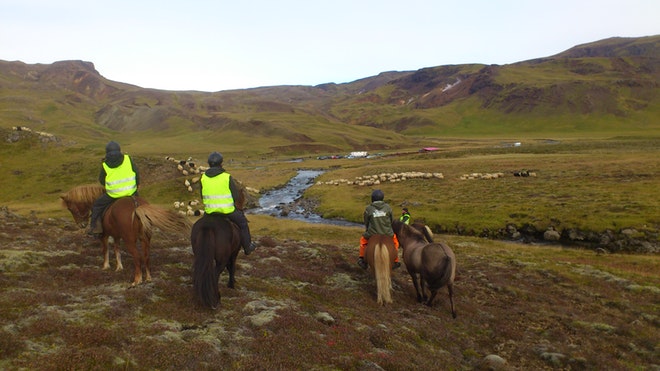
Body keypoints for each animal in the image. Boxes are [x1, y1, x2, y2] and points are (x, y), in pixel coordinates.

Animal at [61, 184, 191, 288]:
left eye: (70, 208)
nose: (81, 225)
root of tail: (137, 206)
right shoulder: (117, 236)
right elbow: (117, 250)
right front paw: (119, 267)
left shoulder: (104, 235)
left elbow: (105, 250)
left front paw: (106, 266)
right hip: (145, 239)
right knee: (146, 256)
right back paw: (148, 278)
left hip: (130, 241)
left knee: (137, 257)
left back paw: (137, 280)